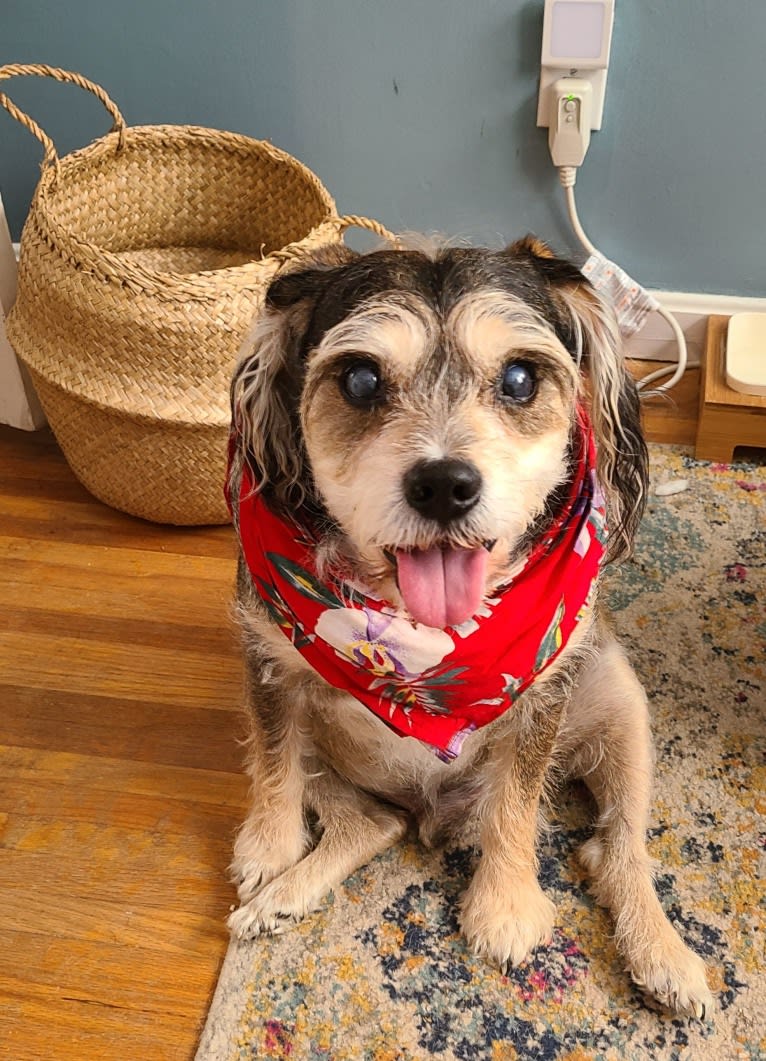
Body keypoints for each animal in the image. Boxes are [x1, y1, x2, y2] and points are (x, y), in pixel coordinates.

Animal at [223, 236, 712, 1014]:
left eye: (519, 377)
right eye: (360, 378)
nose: (444, 485)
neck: (419, 639)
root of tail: (436, 813)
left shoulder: (540, 693)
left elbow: (518, 799)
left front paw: (505, 906)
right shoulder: (269, 663)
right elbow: (273, 762)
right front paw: (267, 850)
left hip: (621, 702)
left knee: (616, 848)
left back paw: (665, 955)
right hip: (327, 747)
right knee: (371, 820)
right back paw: (278, 899)